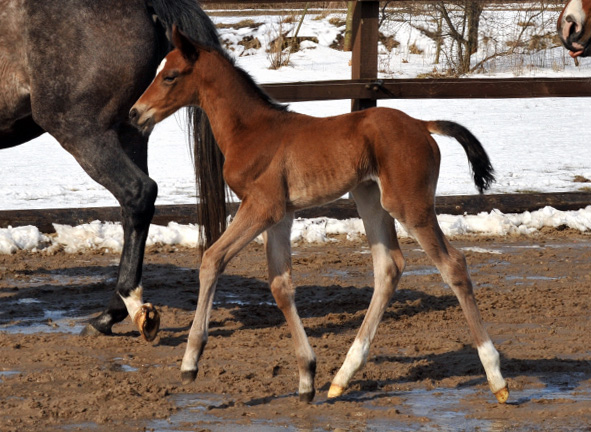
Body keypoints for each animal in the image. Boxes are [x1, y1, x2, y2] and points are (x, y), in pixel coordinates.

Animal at [130, 27, 508, 404]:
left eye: (170, 75)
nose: (135, 113)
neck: (251, 130)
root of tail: (421, 123)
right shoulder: (280, 216)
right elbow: (280, 286)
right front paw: (306, 377)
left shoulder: (262, 207)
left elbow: (212, 259)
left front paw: (190, 362)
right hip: (370, 199)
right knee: (389, 267)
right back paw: (342, 376)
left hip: (409, 205)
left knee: (453, 264)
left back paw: (496, 376)